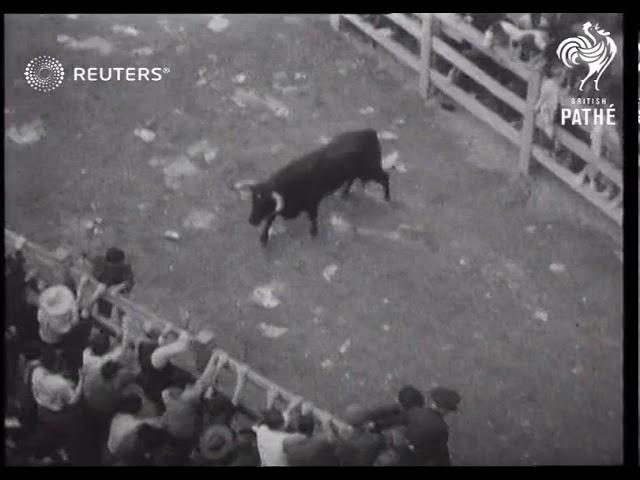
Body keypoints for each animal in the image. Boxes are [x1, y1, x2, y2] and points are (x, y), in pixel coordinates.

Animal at [246, 129, 390, 246]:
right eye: (253, 201)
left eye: (264, 203)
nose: (251, 221)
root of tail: (370, 132)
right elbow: (269, 220)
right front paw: (263, 239)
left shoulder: (313, 203)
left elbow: (313, 218)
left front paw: (313, 234)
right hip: (358, 172)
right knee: (352, 179)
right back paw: (344, 193)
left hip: (370, 170)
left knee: (385, 177)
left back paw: (387, 198)